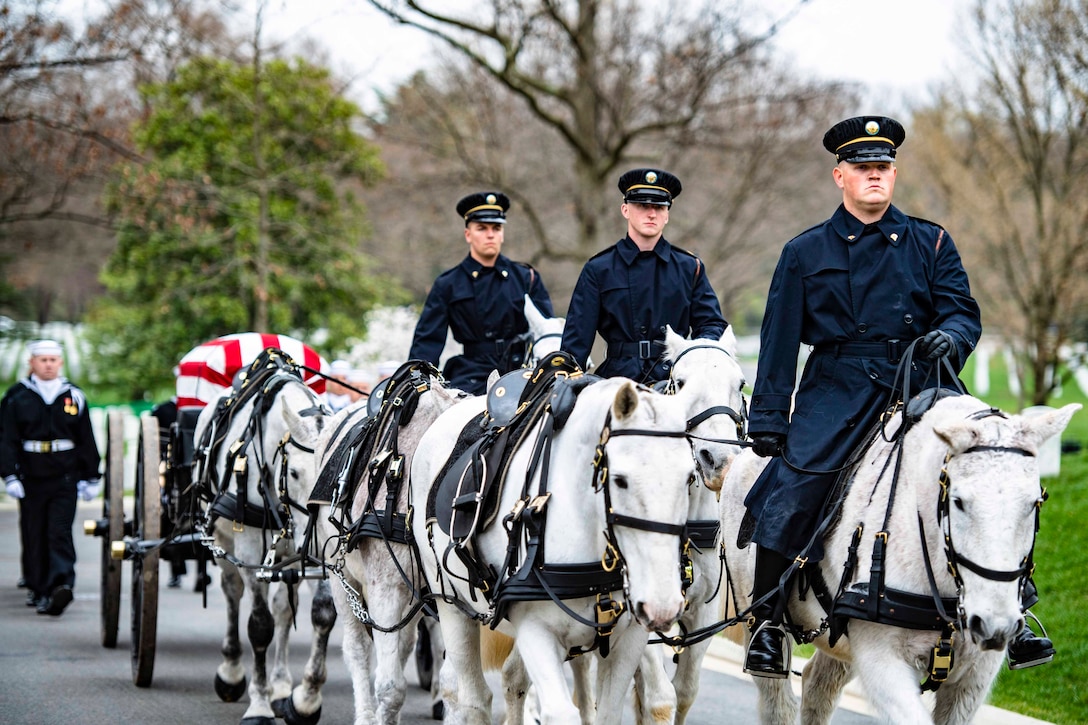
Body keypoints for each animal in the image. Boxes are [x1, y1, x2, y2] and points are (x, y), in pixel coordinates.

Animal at [191, 348, 332, 718]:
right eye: (294, 472)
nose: (313, 546)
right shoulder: (251, 546)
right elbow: (258, 625)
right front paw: (258, 706)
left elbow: (322, 613)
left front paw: (305, 699)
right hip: (225, 542)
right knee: (231, 592)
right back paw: (231, 671)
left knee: (283, 607)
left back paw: (280, 685)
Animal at [409, 372, 696, 722]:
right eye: (620, 479)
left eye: (689, 477)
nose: (662, 606)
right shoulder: (536, 631)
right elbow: (560, 713)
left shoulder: (629, 638)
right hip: (451, 606)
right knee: (473, 697)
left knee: (513, 681)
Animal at [722, 396, 1079, 722]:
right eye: (959, 502)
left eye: (1035, 503)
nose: (995, 624)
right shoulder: (882, 660)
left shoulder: (974, 676)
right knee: (778, 702)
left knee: (818, 685)